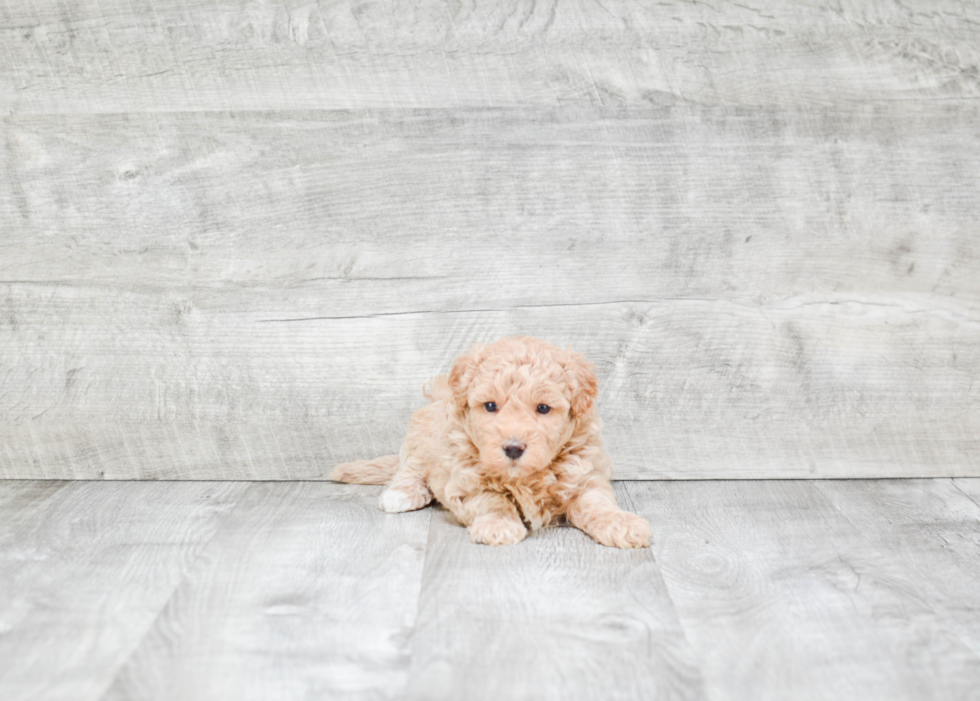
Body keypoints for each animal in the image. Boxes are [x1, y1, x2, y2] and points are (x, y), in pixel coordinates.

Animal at [330, 334, 652, 548]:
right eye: (490, 406)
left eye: (543, 408)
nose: (513, 448)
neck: (525, 478)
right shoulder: (465, 481)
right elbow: (492, 500)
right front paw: (498, 526)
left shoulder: (585, 476)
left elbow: (598, 504)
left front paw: (623, 524)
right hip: (421, 437)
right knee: (408, 469)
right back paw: (402, 494)